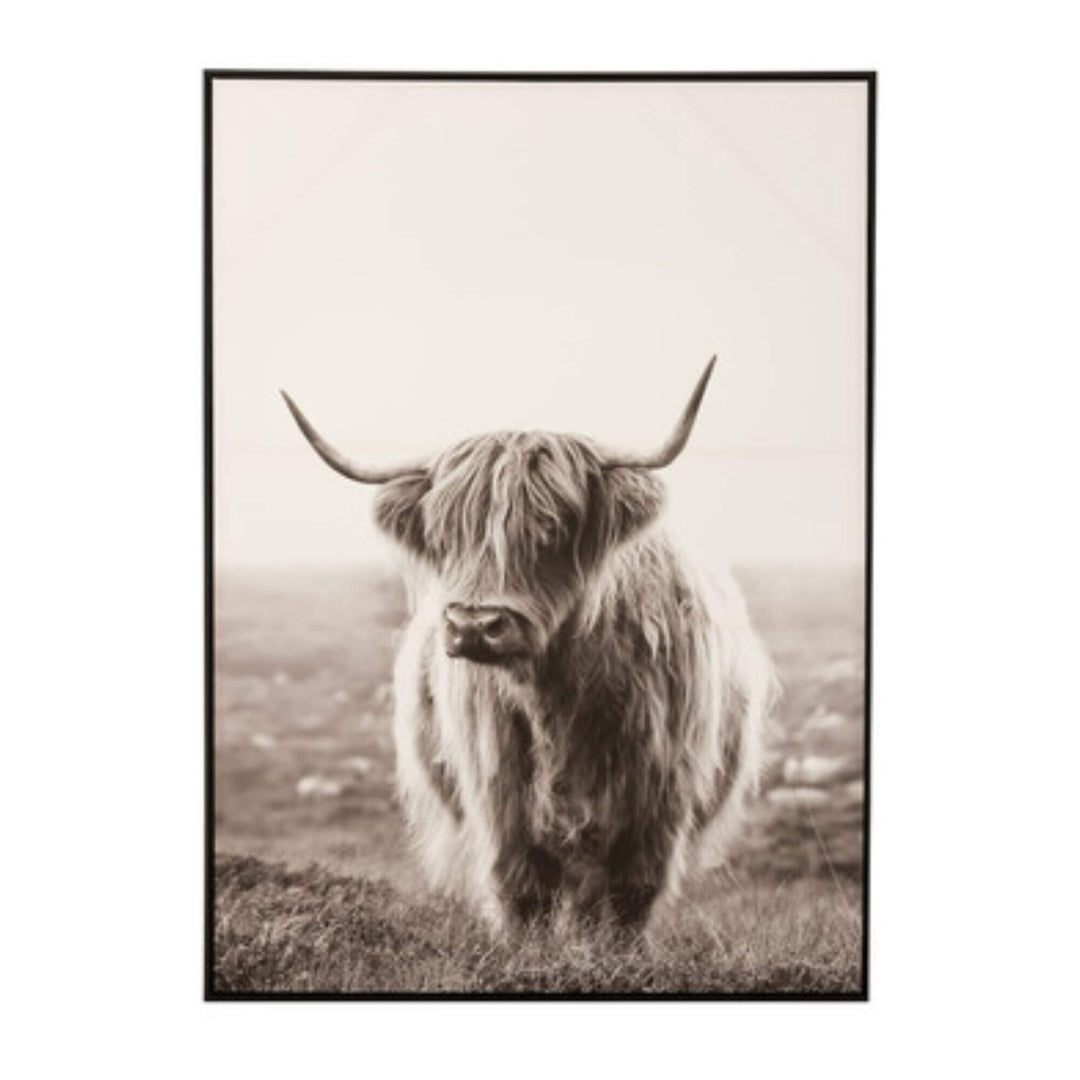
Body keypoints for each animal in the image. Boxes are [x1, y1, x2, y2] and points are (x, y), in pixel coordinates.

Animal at [281, 358, 774, 934]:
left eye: (552, 529)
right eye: (445, 535)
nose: (474, 626)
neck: (555, 697)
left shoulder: (657, 799)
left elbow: (631, 896)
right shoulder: (499, 795)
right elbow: (522, 892)